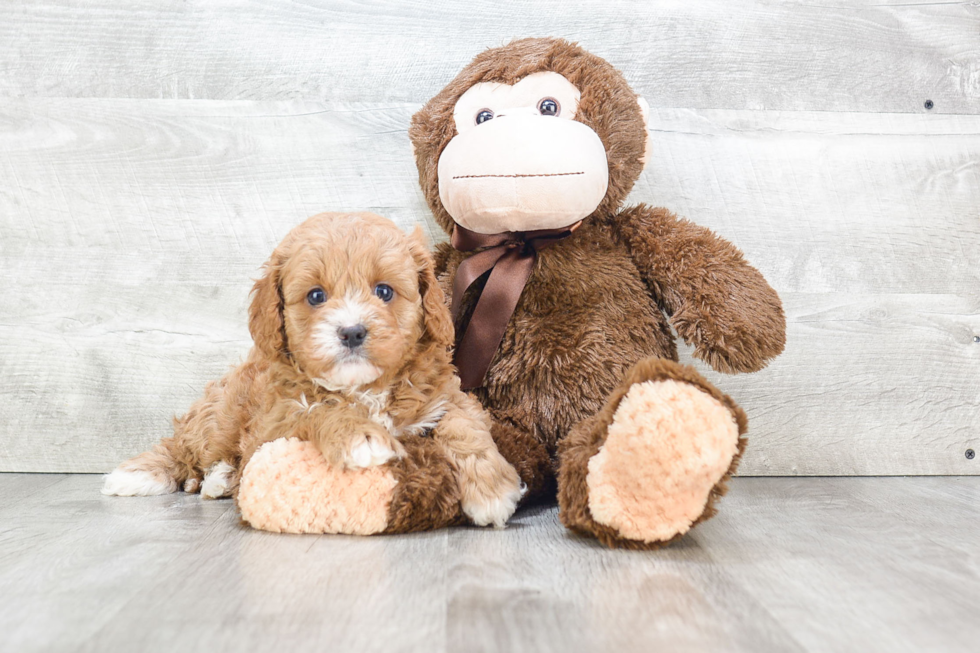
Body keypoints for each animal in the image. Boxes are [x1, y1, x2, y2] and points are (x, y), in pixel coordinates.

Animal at [103, 211, 524, 532]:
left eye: (384, 291)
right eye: (316, 296)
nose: (352, 332)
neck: (365, 388)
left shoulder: (445, 396)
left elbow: (463, 426)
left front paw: (491, 488)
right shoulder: (277, 419)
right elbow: (320, 408)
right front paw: (360, 436)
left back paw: (218, 478)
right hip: (221, 413)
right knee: (184, 445)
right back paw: (156, 473)